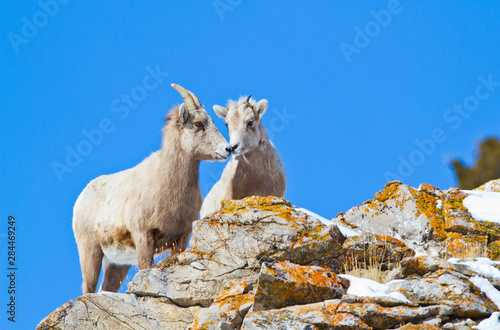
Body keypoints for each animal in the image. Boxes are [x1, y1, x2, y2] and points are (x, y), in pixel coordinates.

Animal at [72, 84, 230, 292]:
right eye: (198, 124)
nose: (228, 149)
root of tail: (81, 199)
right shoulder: (144, 237)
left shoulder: (181, 238)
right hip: (90, 251)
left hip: (118, 264)